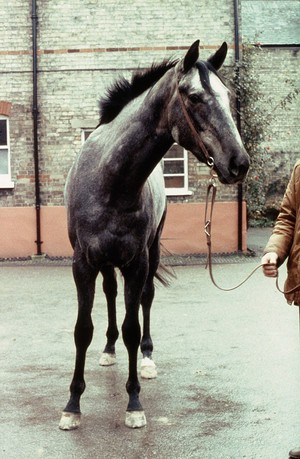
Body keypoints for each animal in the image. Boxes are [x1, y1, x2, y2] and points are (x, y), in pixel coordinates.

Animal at [59, 39, 250, 432]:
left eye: (227, 95)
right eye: (194, 97)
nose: (239, 163)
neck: (110, 181)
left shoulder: (137, 262)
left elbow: (133, 326)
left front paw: (134, 403)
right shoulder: (82, 263)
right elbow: (82, 329)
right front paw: (72, 405)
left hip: (150, 254)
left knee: (145, 301)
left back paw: (146, 359)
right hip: (106, 262)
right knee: (111, 294)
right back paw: (108, 350)